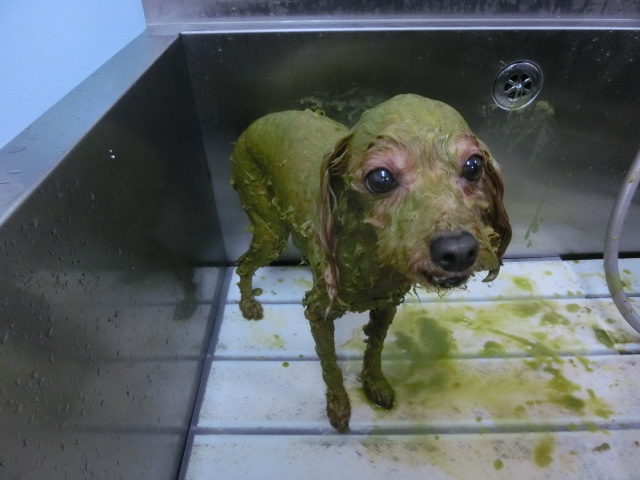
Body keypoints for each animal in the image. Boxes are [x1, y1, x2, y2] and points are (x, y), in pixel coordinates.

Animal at [231, 94, 511, 432]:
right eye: (380, 178)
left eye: (473, 166)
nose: (457, 250)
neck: (371, 258)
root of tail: (256, 123)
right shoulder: (317, 314)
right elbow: (330, 365)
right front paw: (338, 405)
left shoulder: (387, 304)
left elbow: (375, 348)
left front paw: (374, 384)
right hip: (269, 230)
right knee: (243, 264)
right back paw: (248, 303)